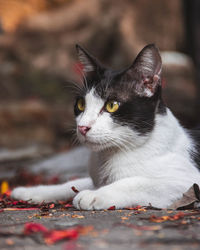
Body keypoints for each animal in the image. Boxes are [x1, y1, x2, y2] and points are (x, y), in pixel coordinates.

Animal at [11, 43, 200, 209]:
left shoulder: (187, 180)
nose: (82, 127)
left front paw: (94, 195)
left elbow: (139, 182)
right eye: (81, 104)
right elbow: (75, 182)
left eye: (112, 105)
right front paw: (30, 191)